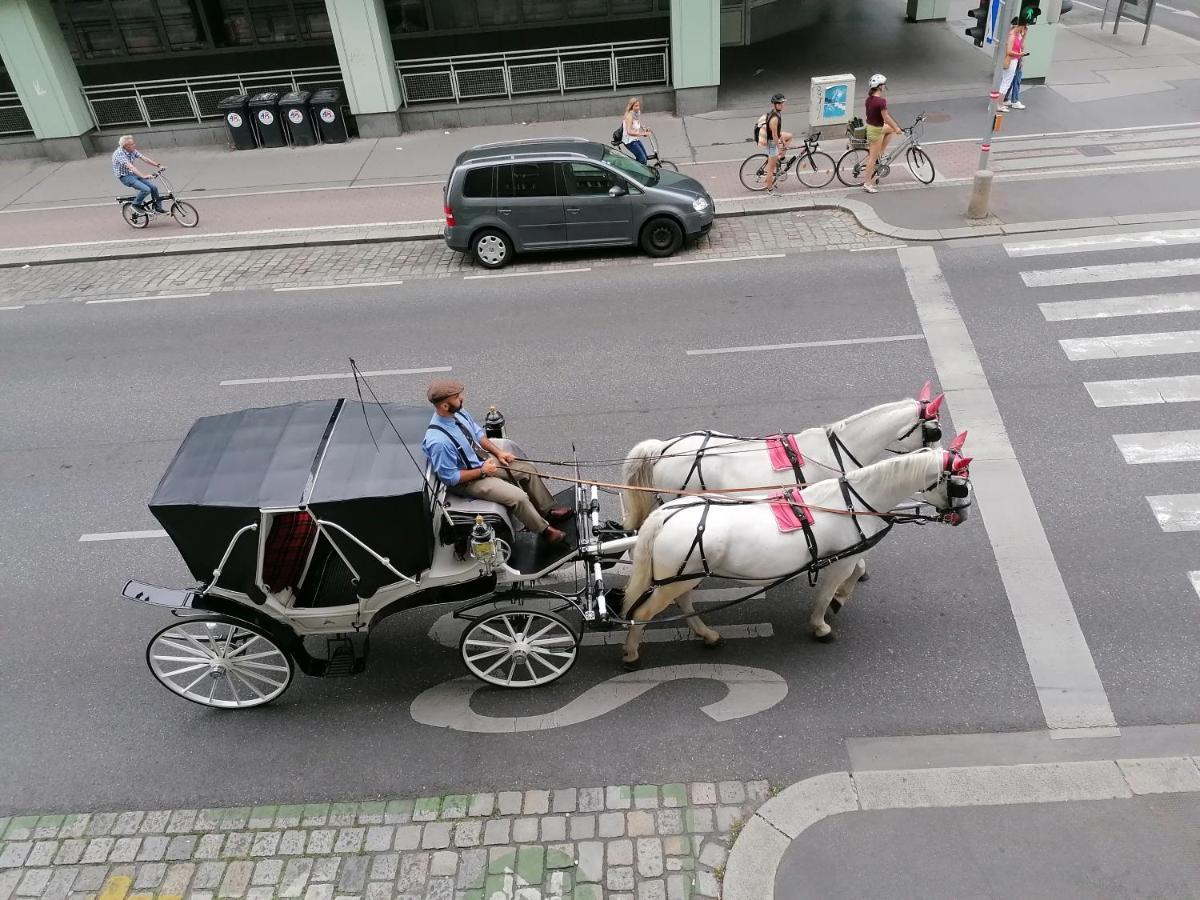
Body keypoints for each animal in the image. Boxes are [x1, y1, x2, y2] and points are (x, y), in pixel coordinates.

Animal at [624, 444, 969, 672]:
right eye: (960, 485)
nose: (962, 517)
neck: (852, 502)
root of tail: (664, 515)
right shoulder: (840, 561)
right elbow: (829, 591)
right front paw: (821, 624)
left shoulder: (846, 556)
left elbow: (855, 572)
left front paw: (839, 601)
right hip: (678, 577)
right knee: (643, 613)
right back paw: (630, 653)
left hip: (685, 575)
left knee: (683, 603)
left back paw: (707, 635)